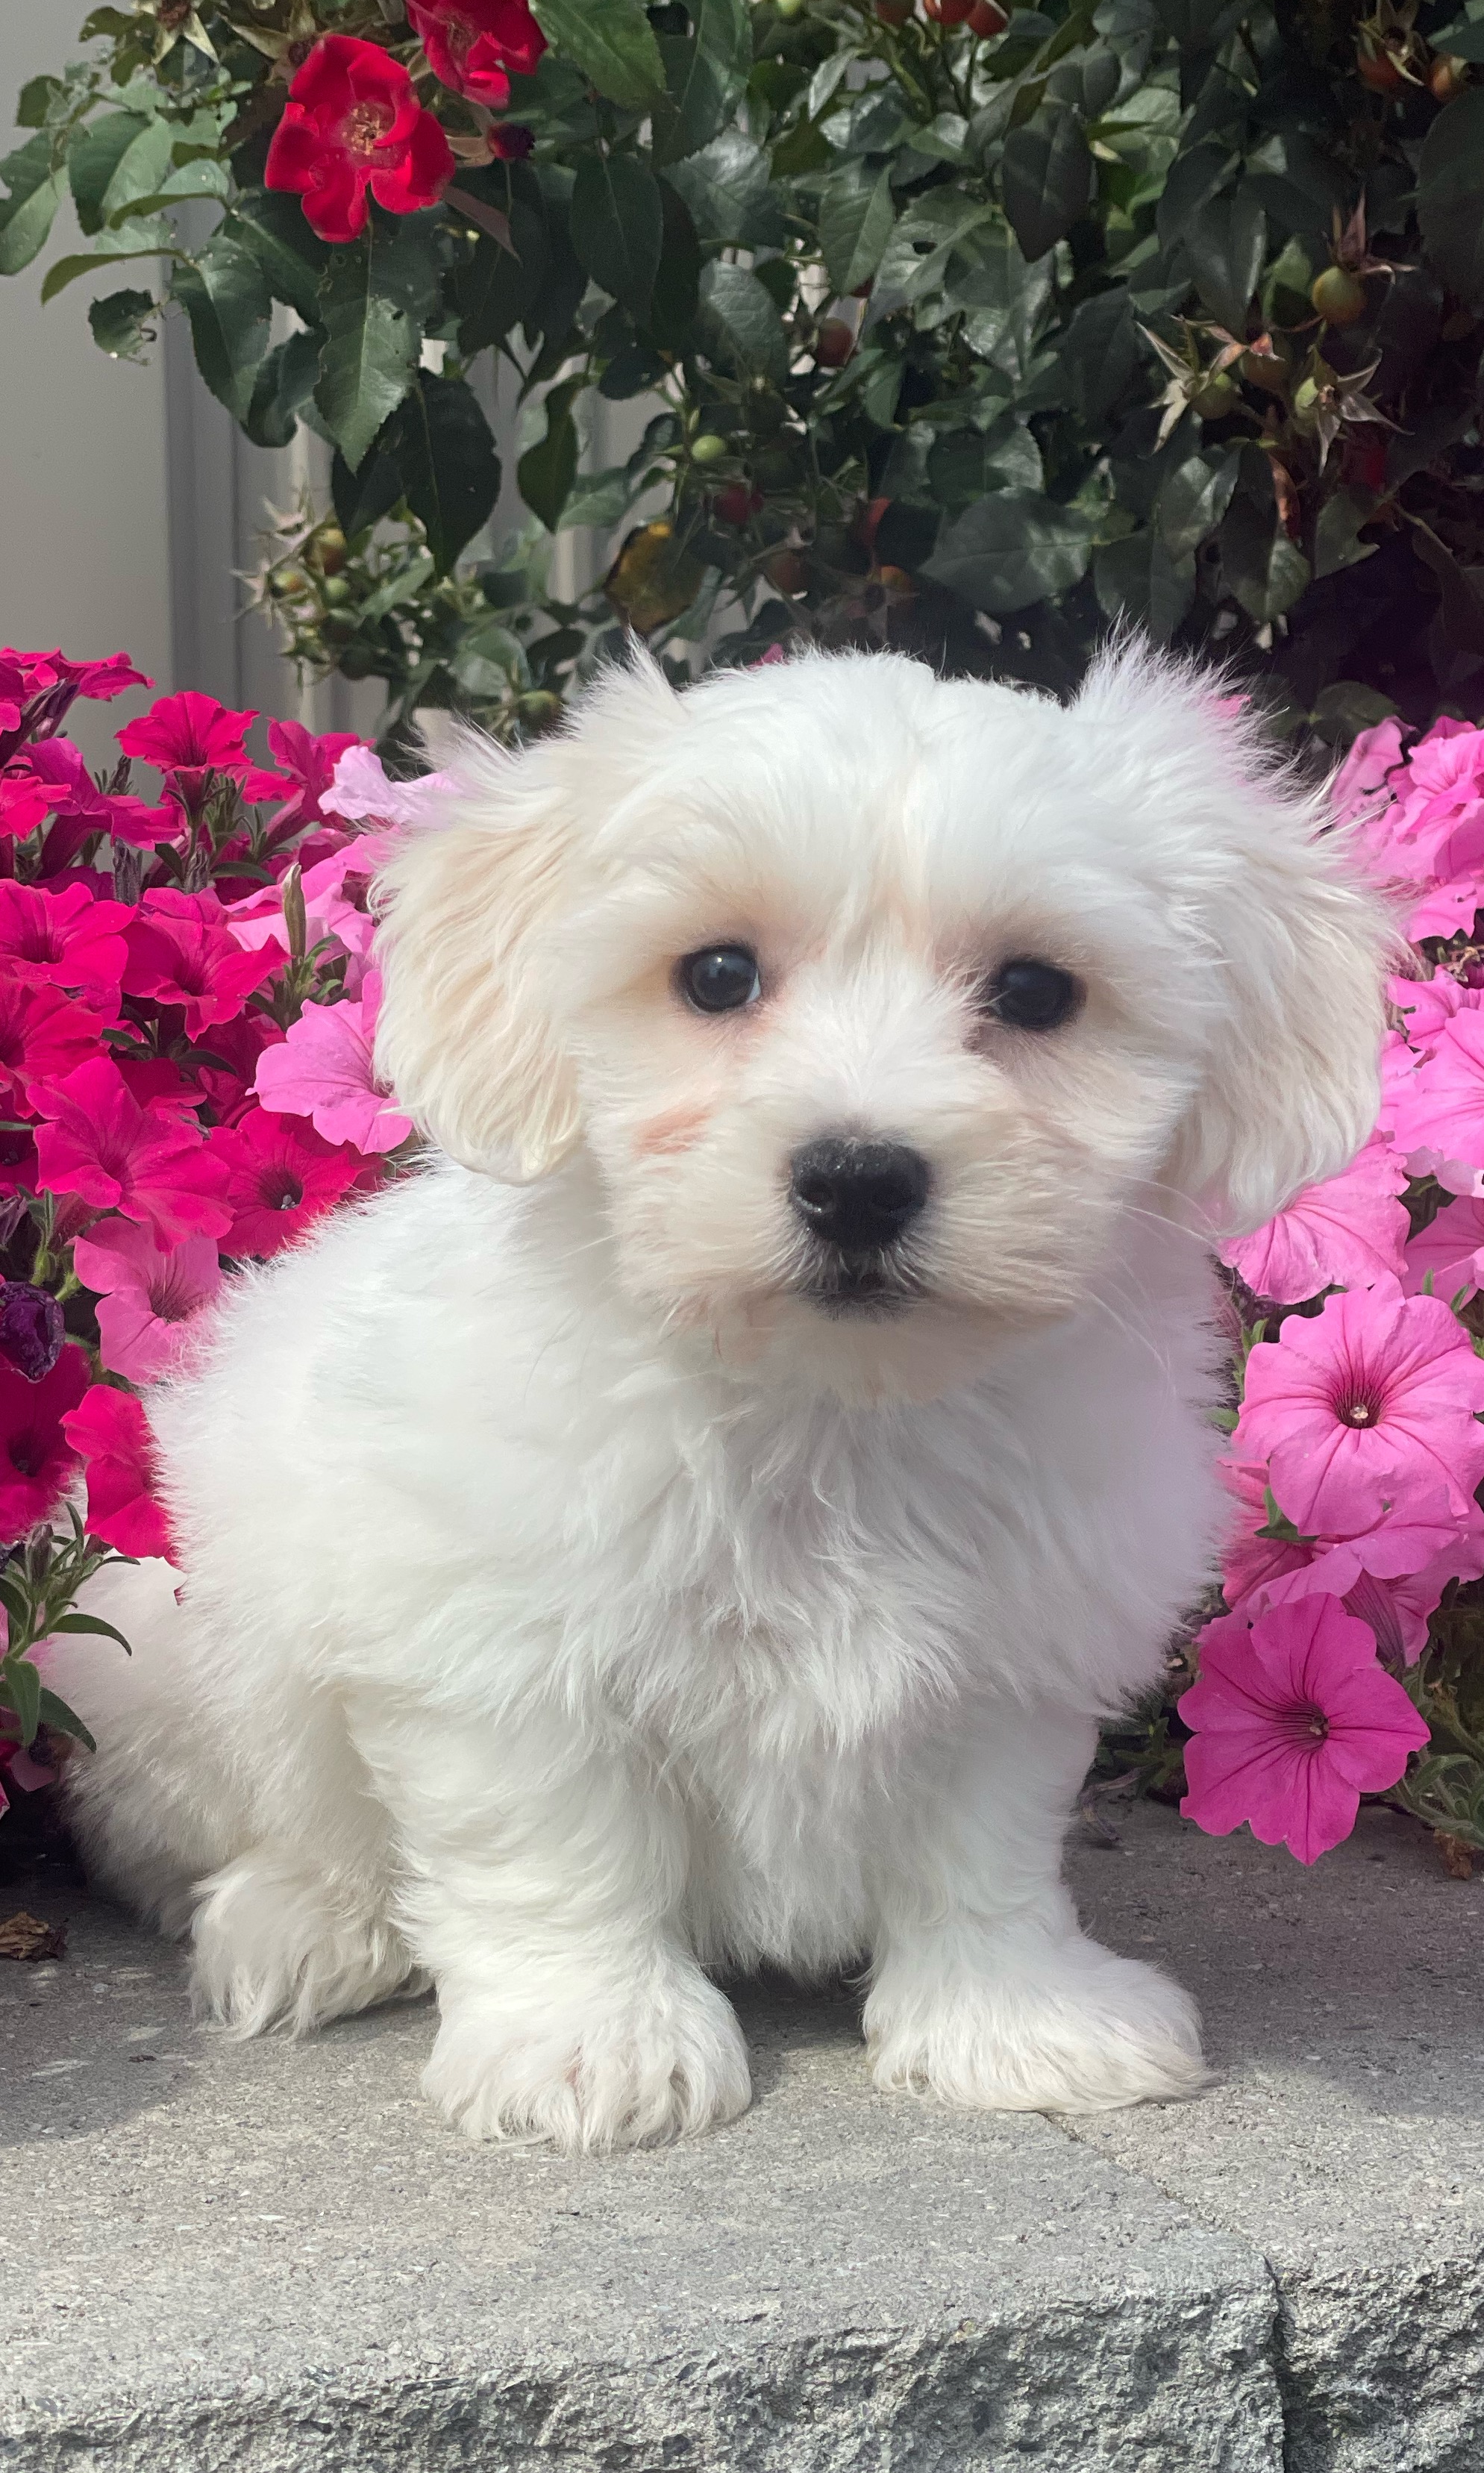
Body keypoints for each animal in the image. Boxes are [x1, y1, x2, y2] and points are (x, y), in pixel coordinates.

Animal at [52, 648, 1385, 2156]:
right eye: (716, 974)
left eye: (1039, 992)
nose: (858, 1177)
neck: (827, 1406)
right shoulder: (497, 1648)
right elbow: (552, 1844)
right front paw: (588, 2038)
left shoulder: (1013, 1647)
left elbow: (980, 1843)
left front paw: (1015, 2015)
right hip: (174, 1650)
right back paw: (310, 1922)